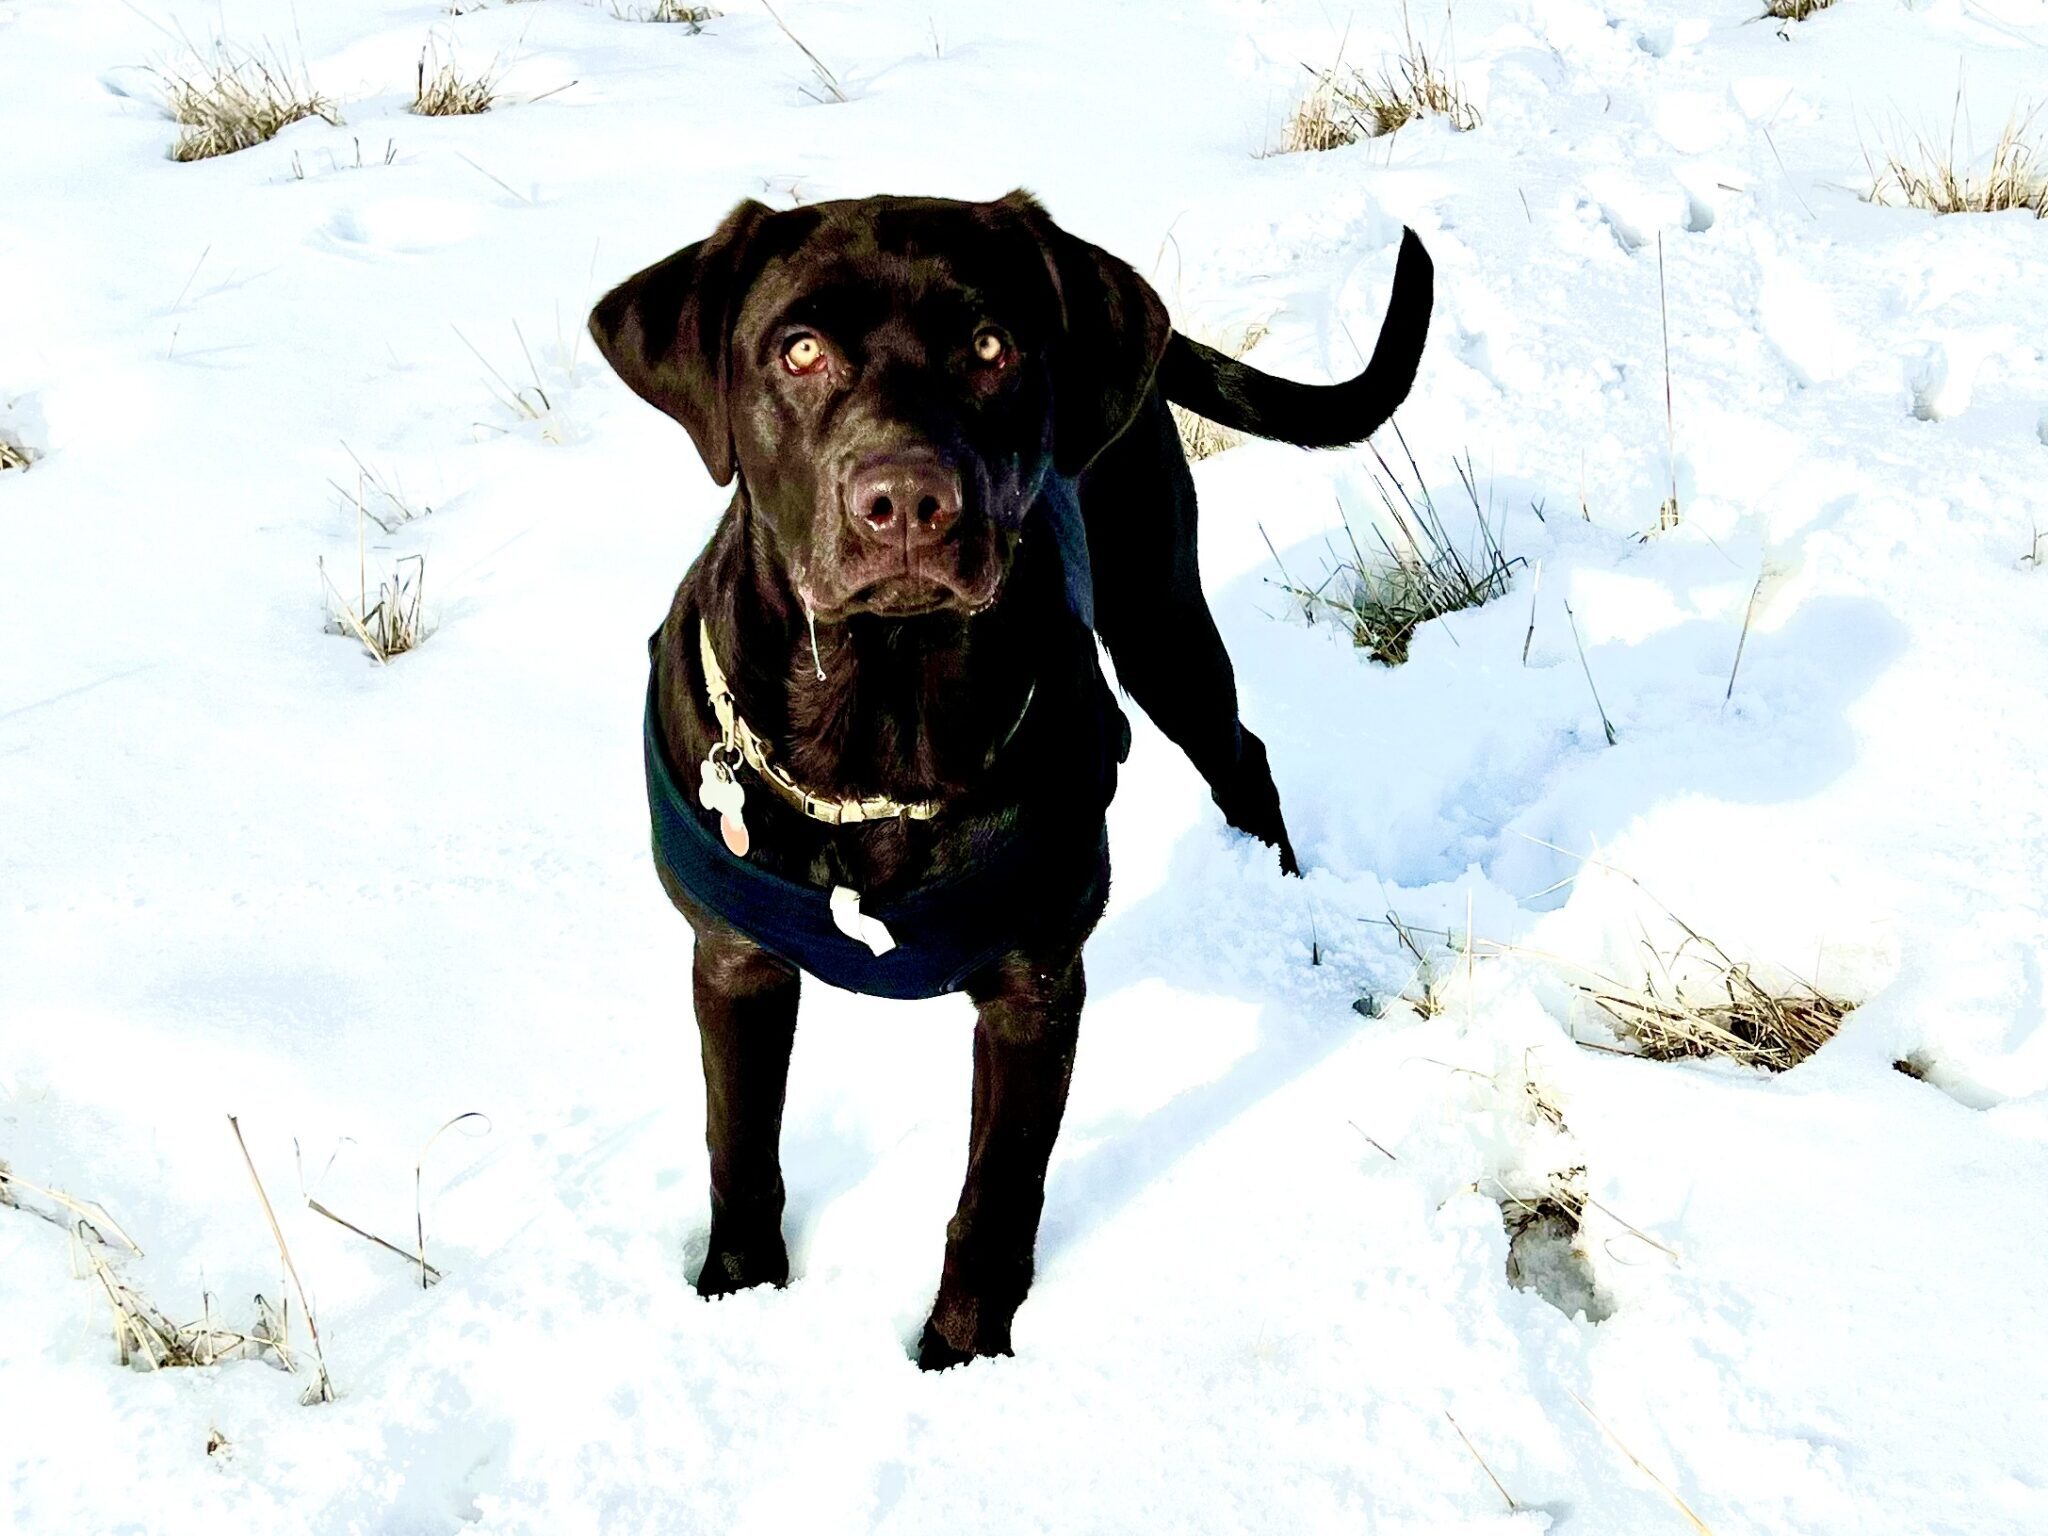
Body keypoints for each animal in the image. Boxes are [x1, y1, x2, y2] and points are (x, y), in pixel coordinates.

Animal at [585, 195, 1433, 1368]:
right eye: (798, 350)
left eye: (991, 346)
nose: (904, 500)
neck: (882, 727)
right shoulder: (735, 959)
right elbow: (739, 1146)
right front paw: (737, 1300)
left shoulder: (1035, 985)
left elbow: (997, 1191)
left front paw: (960, 1355)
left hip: (1161, 615)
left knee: (1242, 756)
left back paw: (1280, 896)